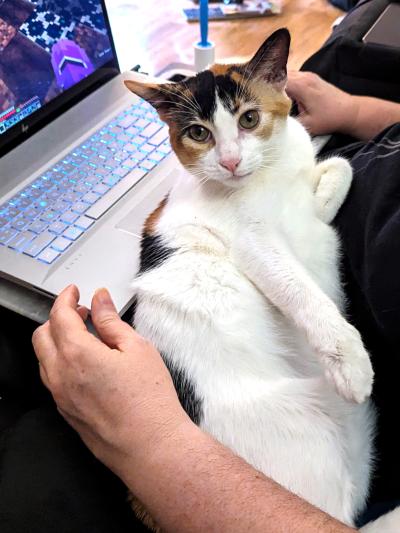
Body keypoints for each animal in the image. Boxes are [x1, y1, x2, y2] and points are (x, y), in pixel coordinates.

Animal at [124, 30, 390, 532]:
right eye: (199, 133)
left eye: (249, 119)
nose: (229, 162)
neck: (272, 173)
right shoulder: (255, 245)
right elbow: (303, 293)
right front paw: (349, 359)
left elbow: (340, 168)